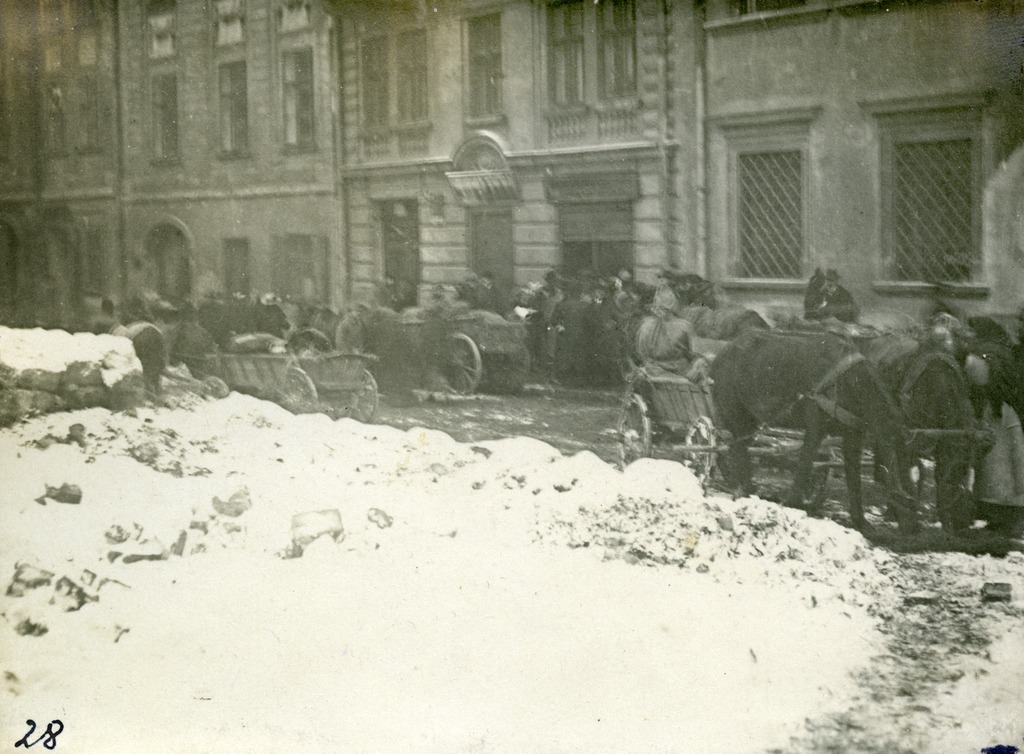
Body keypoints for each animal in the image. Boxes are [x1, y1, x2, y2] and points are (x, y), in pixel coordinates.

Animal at [712, 331, 921, 536]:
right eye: (901, 479)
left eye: (916, 478)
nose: (914, 527)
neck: (849, 382)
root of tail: (720, 354)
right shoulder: (815, 426)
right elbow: (805, 464)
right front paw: (792, 504)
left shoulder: (853, 434)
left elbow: (853, 477)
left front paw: (861, 522)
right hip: (735, 415)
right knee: (736, 450)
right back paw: (742, 491)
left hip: (751, 420)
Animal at [864, 331, 983, 532]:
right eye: (954, 473)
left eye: (966, 469)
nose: (963, 523)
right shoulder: (906, 442)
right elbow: (907, 477)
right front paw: (908, 521)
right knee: (888, 465)